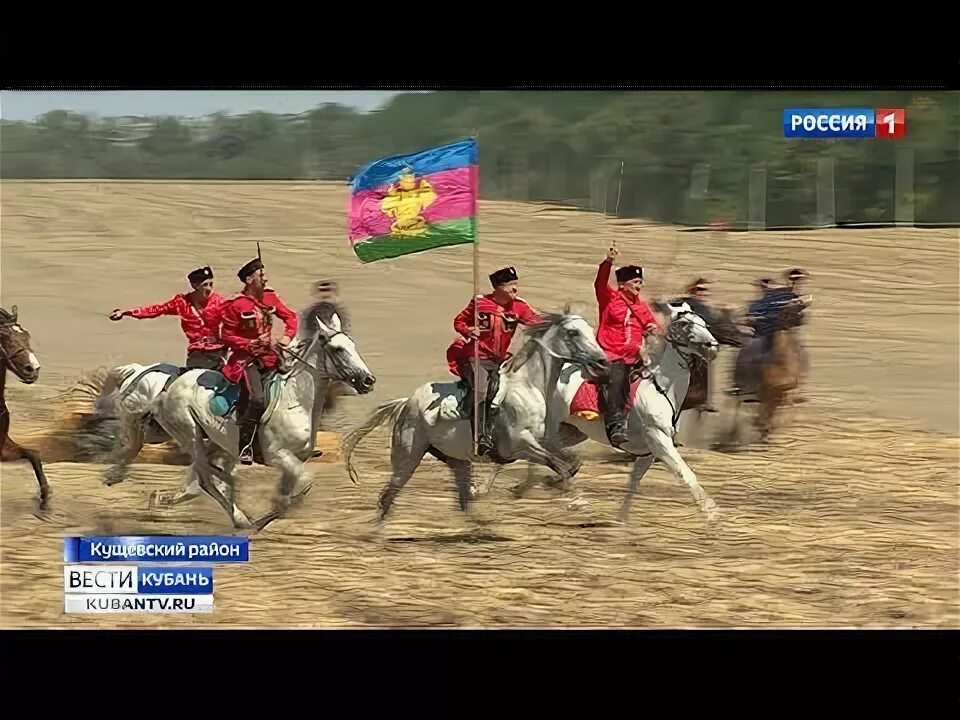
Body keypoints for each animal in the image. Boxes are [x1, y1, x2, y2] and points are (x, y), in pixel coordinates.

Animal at [150, 304, 376, 528]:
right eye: (338, 349)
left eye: (352, 345)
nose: (368, 380)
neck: (295, 399)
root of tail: (171, 385)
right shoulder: (278, 456)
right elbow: (292, 492)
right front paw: (265, 517)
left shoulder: (297, 459)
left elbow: (297, 488)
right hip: (191, 435)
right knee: (206, 475)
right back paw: (240, 518)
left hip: (220, 443)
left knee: (203, 476)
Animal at [342, 306, 612, 524]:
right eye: (573, 333)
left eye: (589, 330)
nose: (602, 361)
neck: (528, 386)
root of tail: (406, 403)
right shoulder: (520, 445)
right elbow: (561, 466)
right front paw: (575, 501)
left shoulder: (547, 441)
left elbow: (571, 464)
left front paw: (553, 487)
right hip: (407, 459)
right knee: (388, 495)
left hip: (457, 461)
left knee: (461, 500)